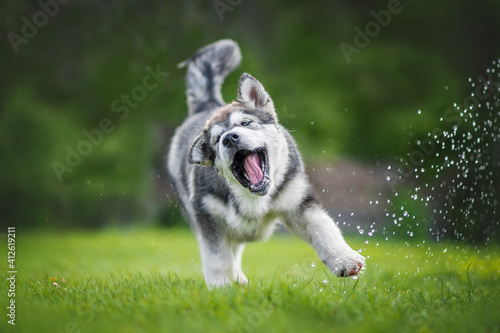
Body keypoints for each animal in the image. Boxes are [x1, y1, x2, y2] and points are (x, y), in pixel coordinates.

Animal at [168, 39, 364, 288]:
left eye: (245, 123)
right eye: (217, 139)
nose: (229, 138)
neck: (253, 197)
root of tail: (208, 103)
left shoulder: (298, 200)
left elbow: (323, 227)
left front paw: (344, 259)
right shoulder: (206, 214)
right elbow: (217, 255)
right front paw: (221, 286)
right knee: (231, 248)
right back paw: (236, 278)